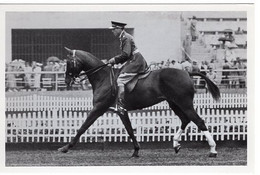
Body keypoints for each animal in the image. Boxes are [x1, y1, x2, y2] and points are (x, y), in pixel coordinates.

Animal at [58, 47, 220, 158]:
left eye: (69, 62)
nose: (66, 80)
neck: (103, 77)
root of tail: (187, 72)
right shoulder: (120, 112)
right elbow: (130, 129)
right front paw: (136, 150)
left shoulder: (98, 108)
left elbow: (82, 127)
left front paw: (66, 147)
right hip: (174, 104)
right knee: (185, 120)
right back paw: (176, 144)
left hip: (185, 104)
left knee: (199, 122)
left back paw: (212, 149)